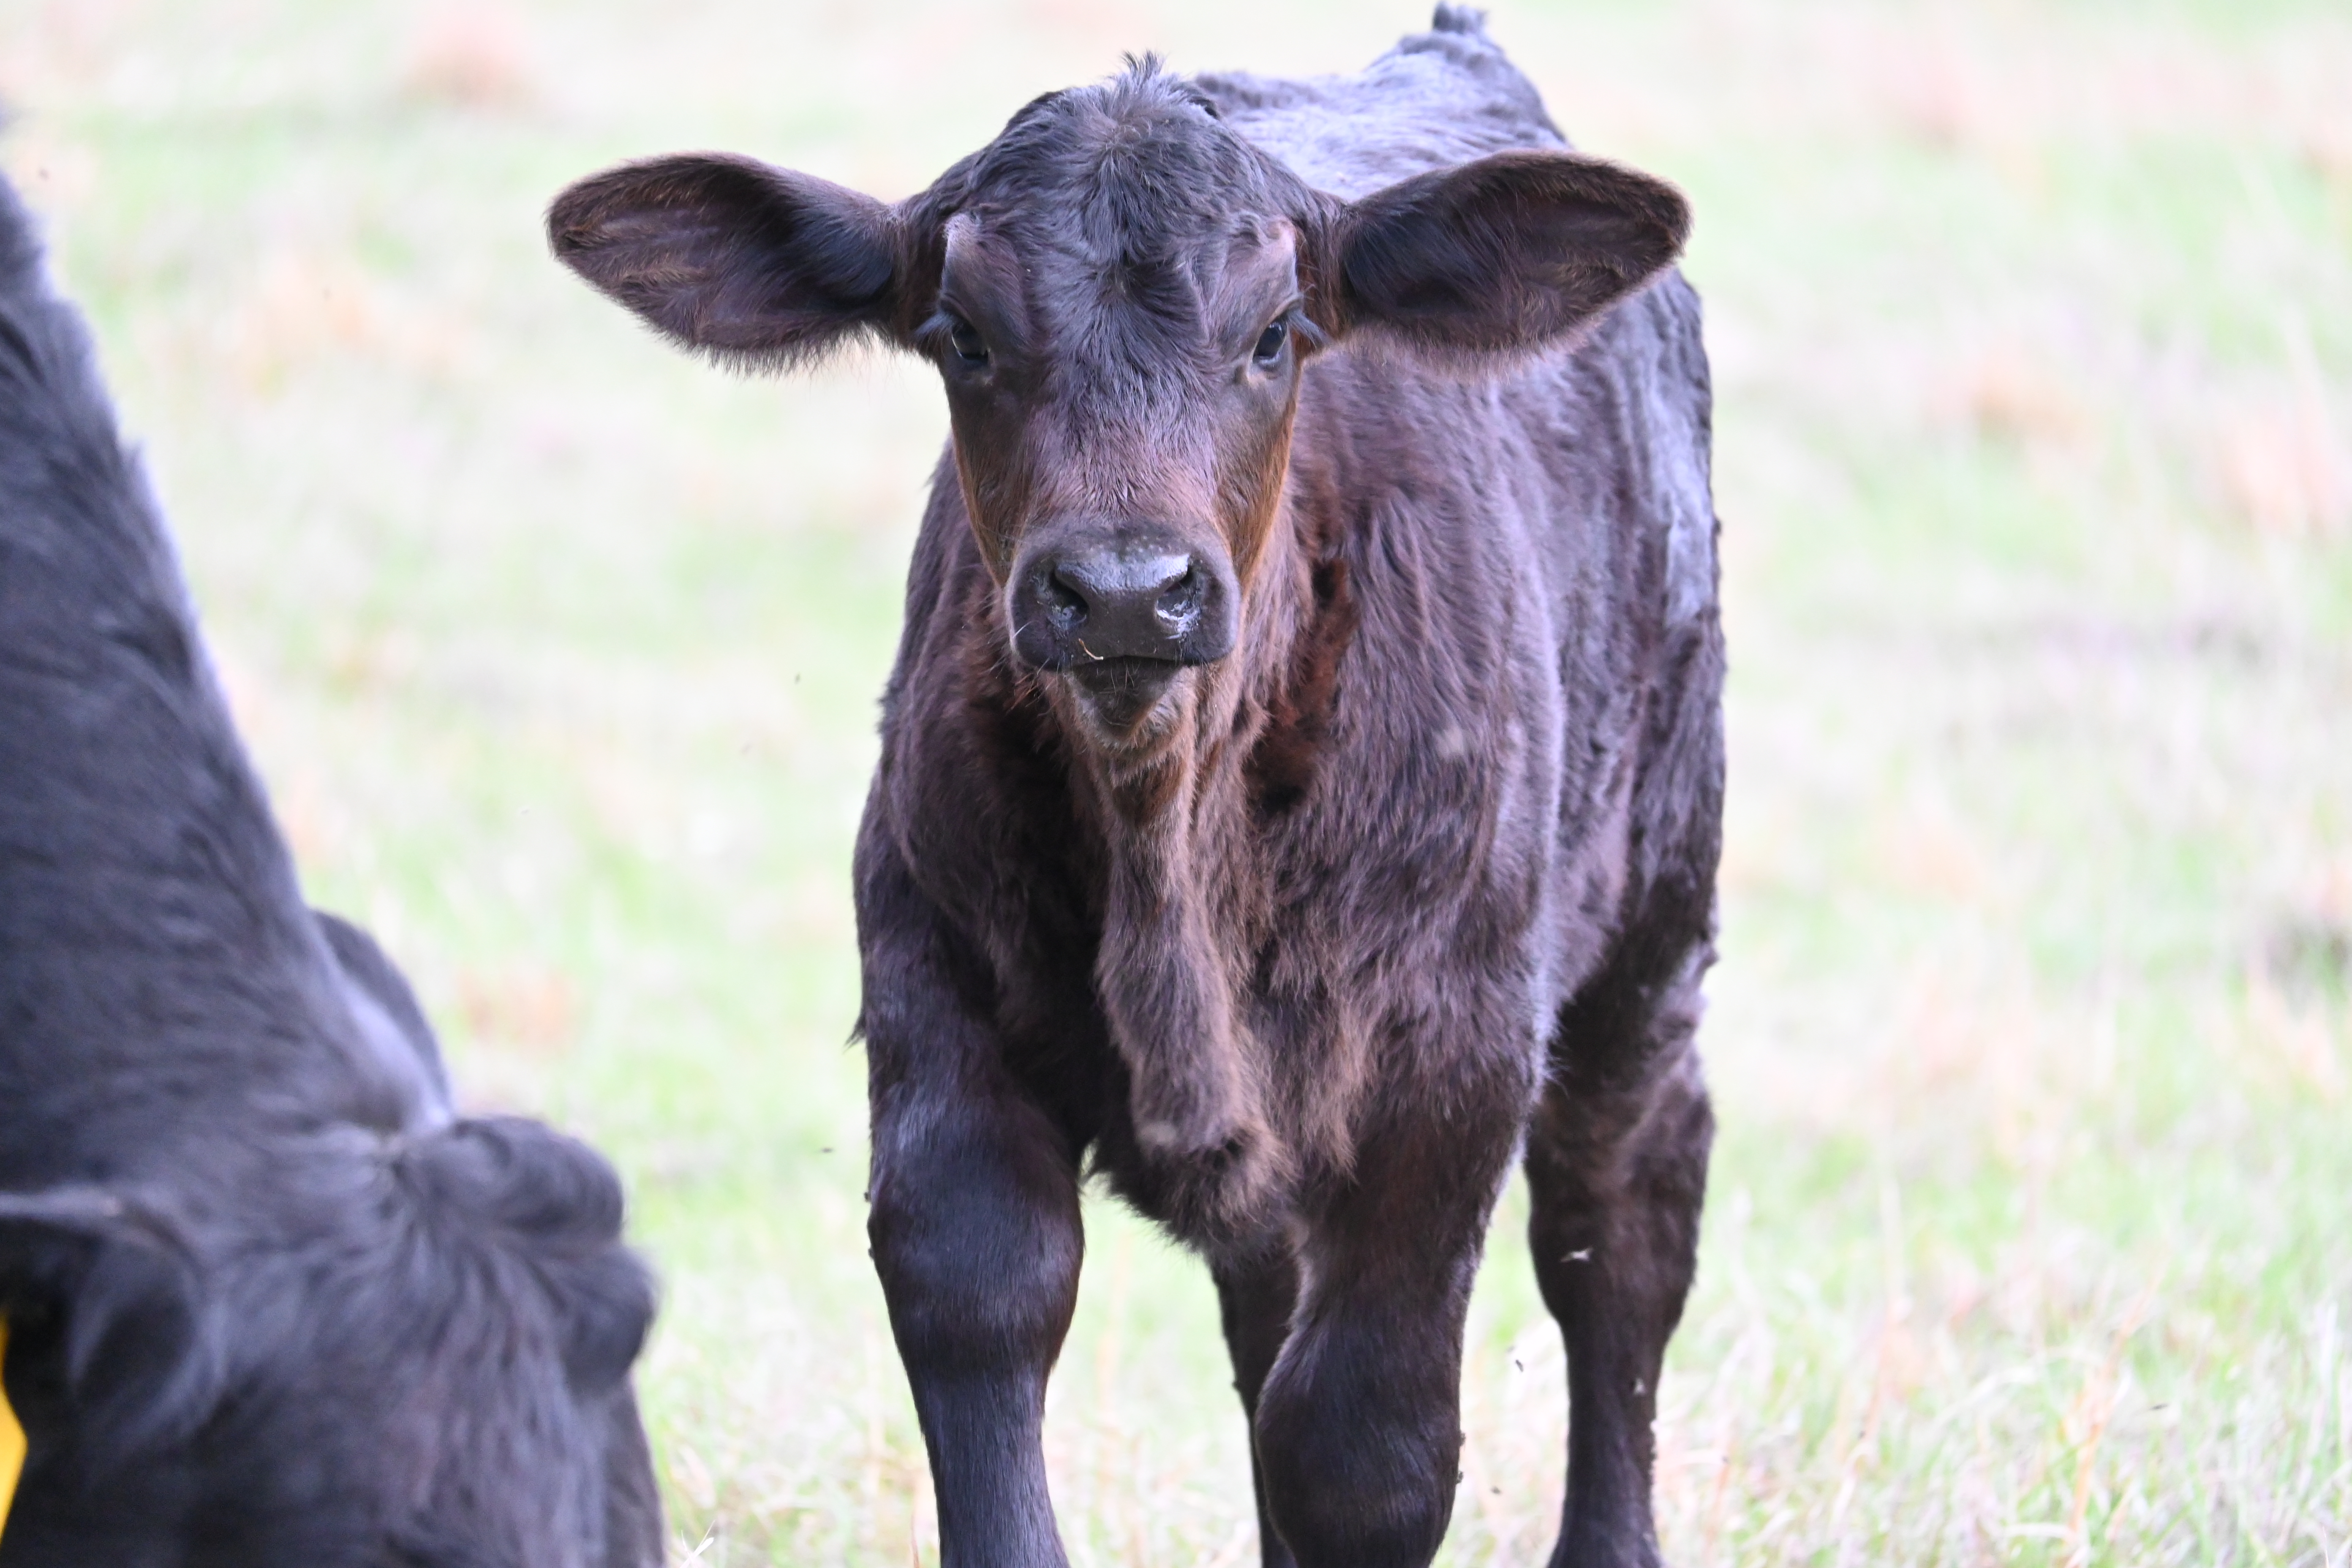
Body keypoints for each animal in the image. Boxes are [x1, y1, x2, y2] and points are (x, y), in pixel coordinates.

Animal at [550, 8, 1721, 1566]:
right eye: (960, 336)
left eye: (1275, 333)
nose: (1121, 591)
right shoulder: (927, 963)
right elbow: (983, 1291)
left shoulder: (1454, 1046)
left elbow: (1365, 1441)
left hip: (1652, 918)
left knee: (1619, 1229)